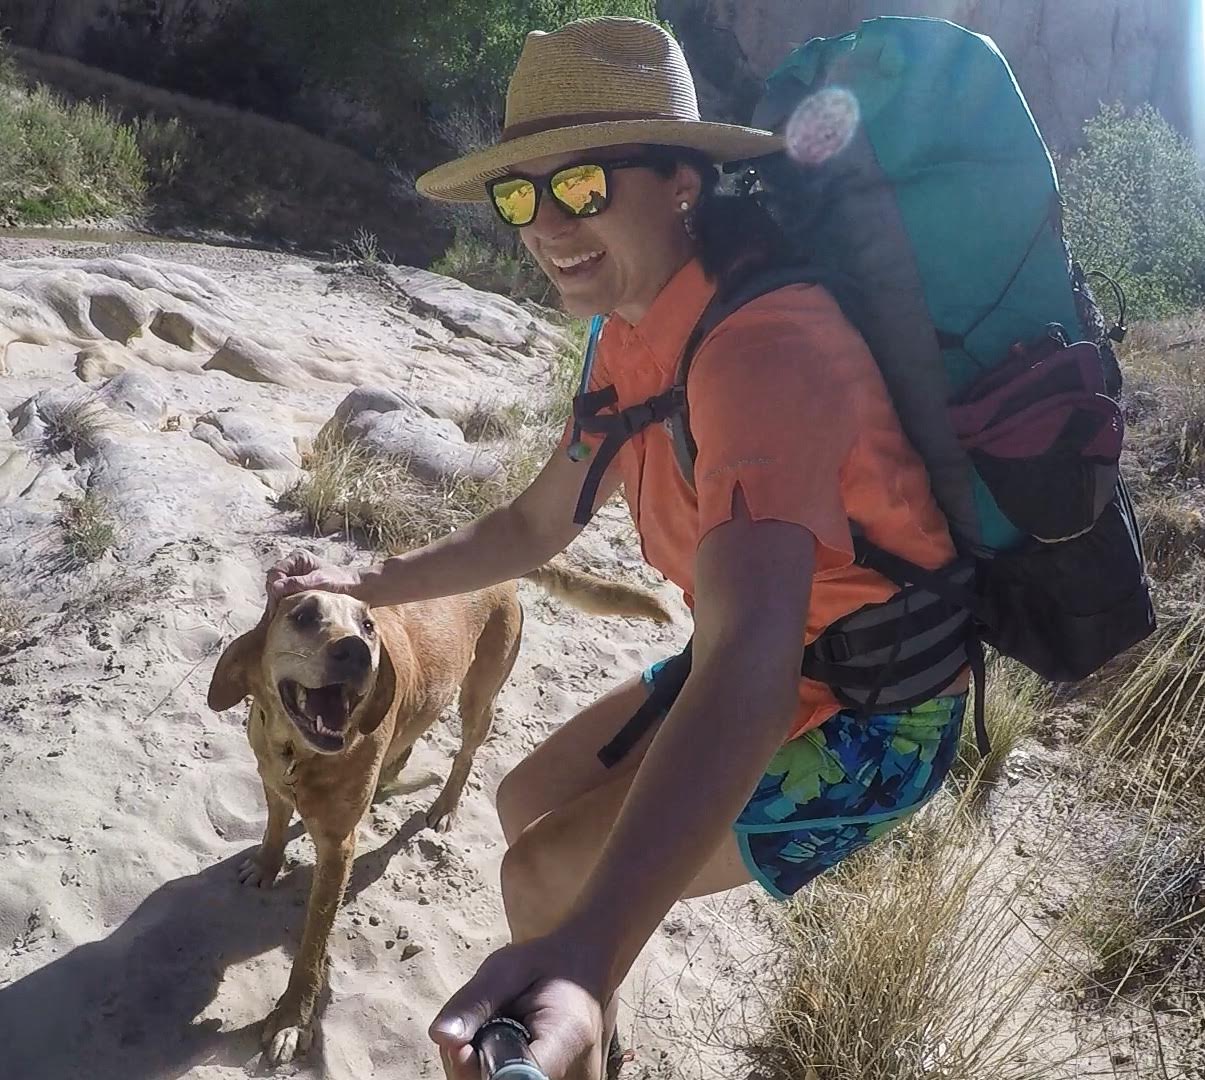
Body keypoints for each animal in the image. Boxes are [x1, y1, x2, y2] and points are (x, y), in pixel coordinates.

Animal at [201, 561, 665, 1065]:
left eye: (368, 625)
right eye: (303, 615)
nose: (357, 652)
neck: (297, 752)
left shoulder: (339, 848)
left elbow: (311, 945)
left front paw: (292, 1019)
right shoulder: (272, 782)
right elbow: (273, 826)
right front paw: (267, 864)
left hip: (479, 696)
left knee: (466, 751)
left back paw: (443, 804)